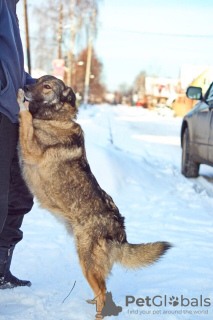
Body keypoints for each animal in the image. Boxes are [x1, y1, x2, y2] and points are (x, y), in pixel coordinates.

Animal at [17, 76, 171, 318]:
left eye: (47, 86)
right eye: (38, 80)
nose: (25, 85)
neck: (56, 118)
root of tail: (120, 233)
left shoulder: (30, 147)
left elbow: (25, 118)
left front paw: (21, 102)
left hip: (86, 261)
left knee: (103, 292)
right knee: (102, 289)